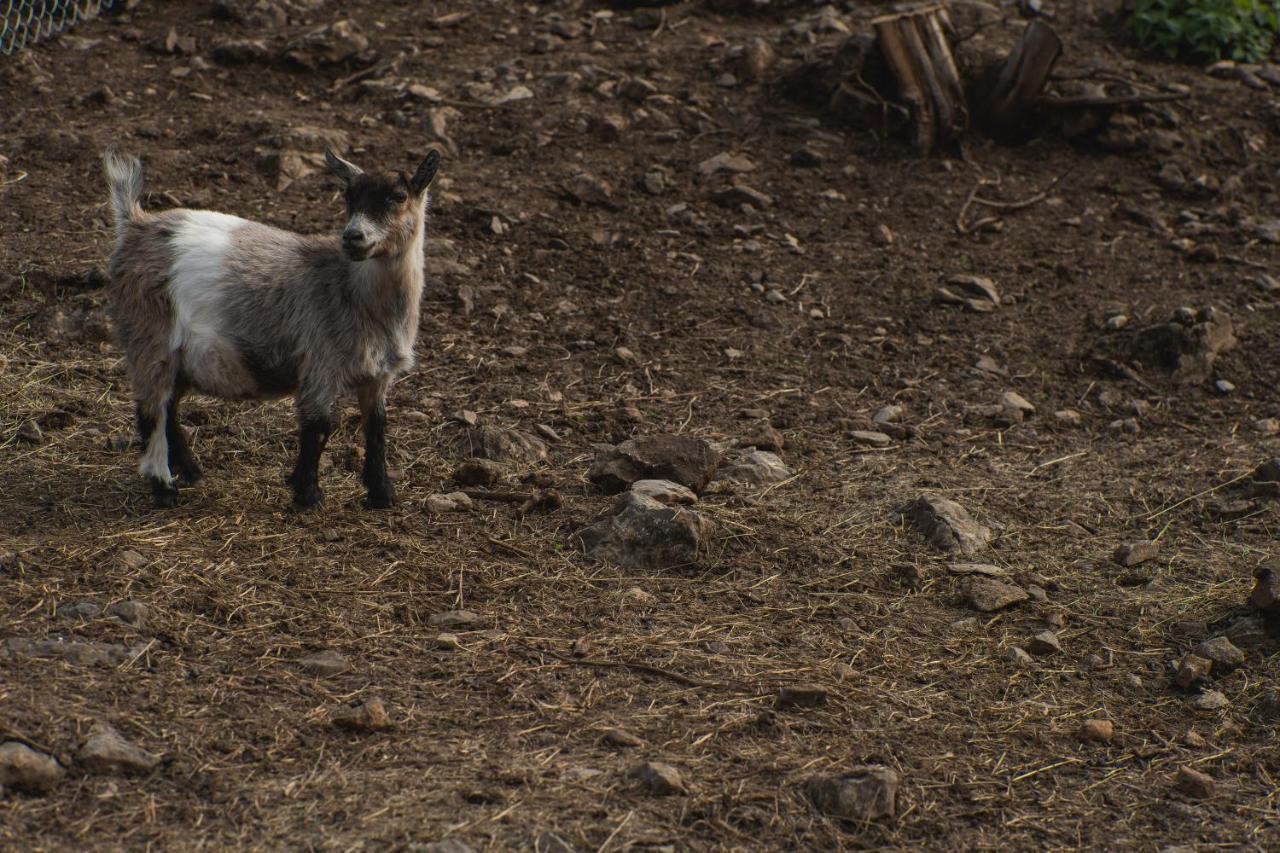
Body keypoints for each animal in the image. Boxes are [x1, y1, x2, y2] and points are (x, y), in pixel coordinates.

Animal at [101, 147, 440, 507]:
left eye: (398, 196)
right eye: (348, 197)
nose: (353, 237)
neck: (352, 291)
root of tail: (134, 223)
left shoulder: (378, 375)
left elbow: (376, 429)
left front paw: (382, 494)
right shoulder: (319, 364)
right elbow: (318, 427)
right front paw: (308, 495)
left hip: (179, 358)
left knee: (168, 408)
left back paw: (191, 471)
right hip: (150, 337)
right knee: (150, 410)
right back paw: (164, 487)